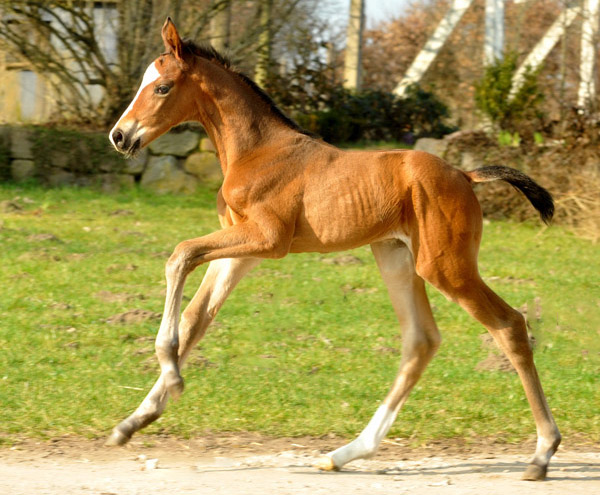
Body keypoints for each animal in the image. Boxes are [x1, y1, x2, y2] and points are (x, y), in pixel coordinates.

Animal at [109, 18, 564, 480]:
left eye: (162, 87)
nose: (120, 136)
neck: (258, 150)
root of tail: (465, 175)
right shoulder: (243, 251)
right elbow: (195, 317)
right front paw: (134, 421)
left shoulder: (267, 239)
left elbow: (179, 256)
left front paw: (172, 380)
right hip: (396, 257)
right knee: (420, 341)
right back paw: (346, 452)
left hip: (446, 266)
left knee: (509, 325)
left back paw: (542, 453)